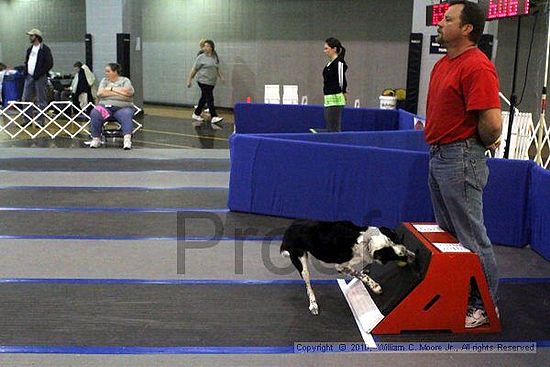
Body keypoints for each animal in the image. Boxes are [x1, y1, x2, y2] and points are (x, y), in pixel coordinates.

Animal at [282, 220, 416, 314]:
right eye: (395, 256)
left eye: (398, 240)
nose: (413, 256)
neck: (366, 240)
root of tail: (289, 228)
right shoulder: (341, 266)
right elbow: (362, 275)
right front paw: (375, 286)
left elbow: (360, 272)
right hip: (302, 264)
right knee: (308, 286)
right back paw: (313, 304)